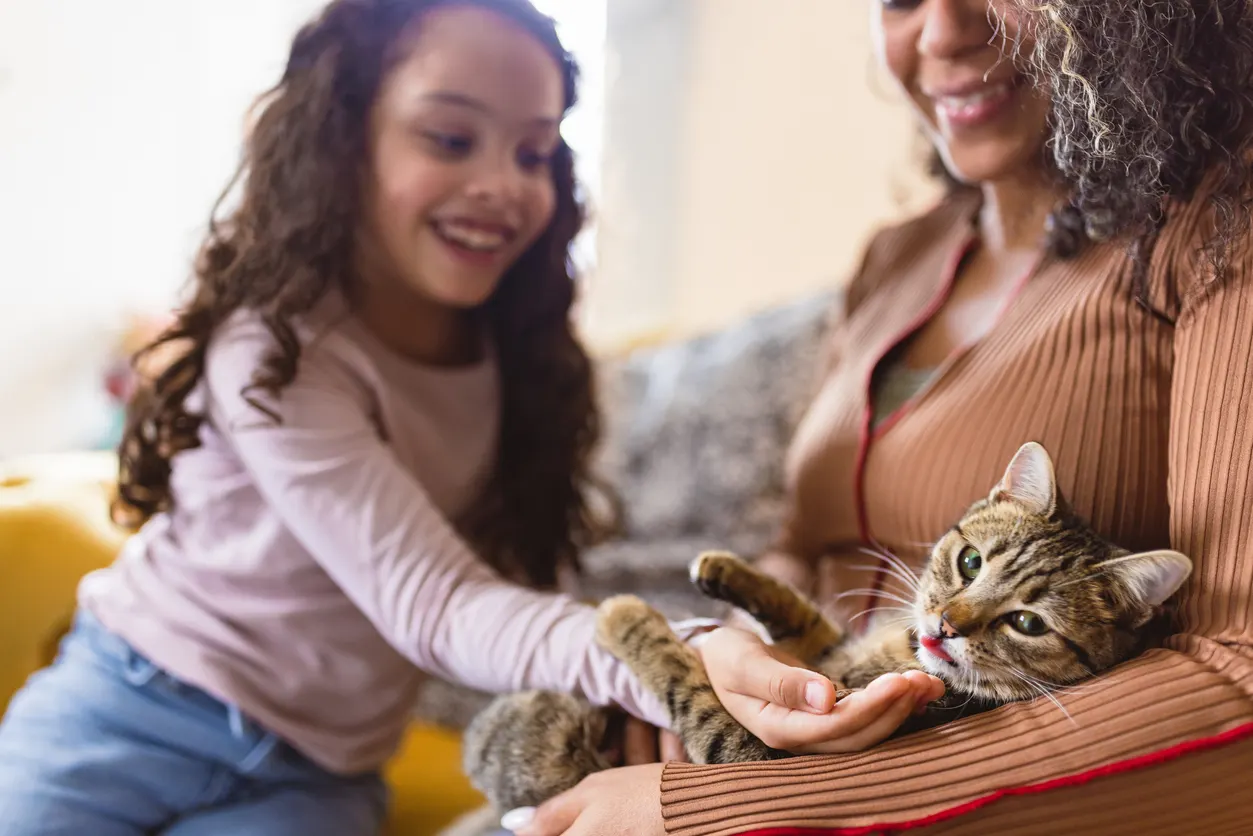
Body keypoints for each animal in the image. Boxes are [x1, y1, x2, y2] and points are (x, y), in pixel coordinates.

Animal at [463, 443, 1192, 817]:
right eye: (970, 561)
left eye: (1026, 622)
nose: (945, 625)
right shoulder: (826, 649)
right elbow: (805, 617)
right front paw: (726, 571)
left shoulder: (746, 750)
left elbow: (685, 678)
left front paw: (626, 615)